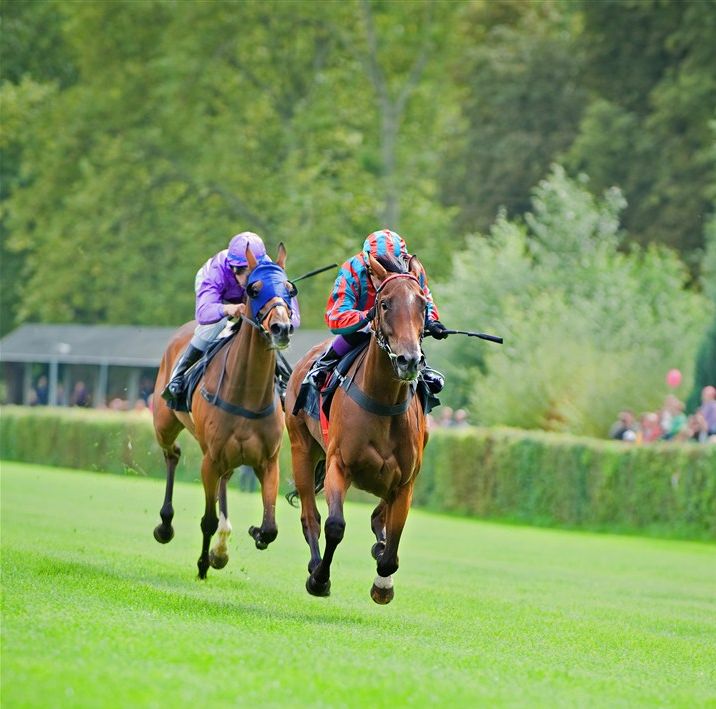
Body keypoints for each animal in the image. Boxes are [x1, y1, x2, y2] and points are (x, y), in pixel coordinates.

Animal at [152, 242, 296, 576]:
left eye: (289, 289)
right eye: (254, 289)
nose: (282, 328)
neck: (247, 393)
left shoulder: (268, 462)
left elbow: (270, 527)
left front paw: (252, 534)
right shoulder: (211, 459)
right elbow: (207, 519)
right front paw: (203, 564)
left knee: (224, 481)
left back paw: (221, 545)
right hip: (164, 423)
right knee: (172, 454)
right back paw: (166, 525)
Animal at [284, 252, 430, 600]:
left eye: (422, 304)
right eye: (385, 304)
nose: (409, 360)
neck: (384, 402)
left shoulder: (405, 483)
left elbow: (392, 547)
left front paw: (383, 583)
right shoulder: (339, 465)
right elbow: (335, 526)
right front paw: (320, 579)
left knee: (380, 519)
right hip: (301, 448)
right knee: (310, 516)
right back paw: (314, 565)